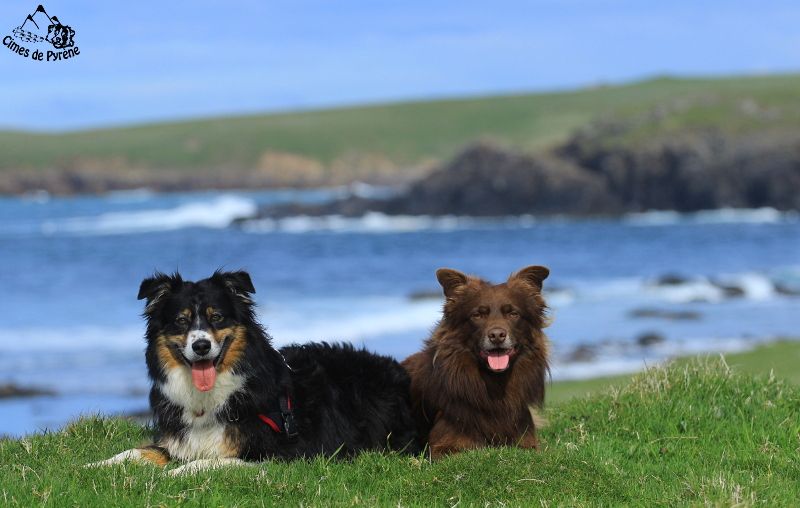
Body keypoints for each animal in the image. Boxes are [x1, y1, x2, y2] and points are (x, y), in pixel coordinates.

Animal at [92, 272, 418, 474]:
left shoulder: (280, 454)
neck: (211, 397)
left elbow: (212, 462)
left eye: (217, 317)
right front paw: (94, 466)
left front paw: (177, 473)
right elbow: (135, 452)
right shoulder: (178, 440)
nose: (201, 346)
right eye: (181, 321)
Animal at [400, 268, 552, 458]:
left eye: (513, 314)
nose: (497, 336)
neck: (495, 384)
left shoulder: (527, 441)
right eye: (477, 315)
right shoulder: (444, 446)